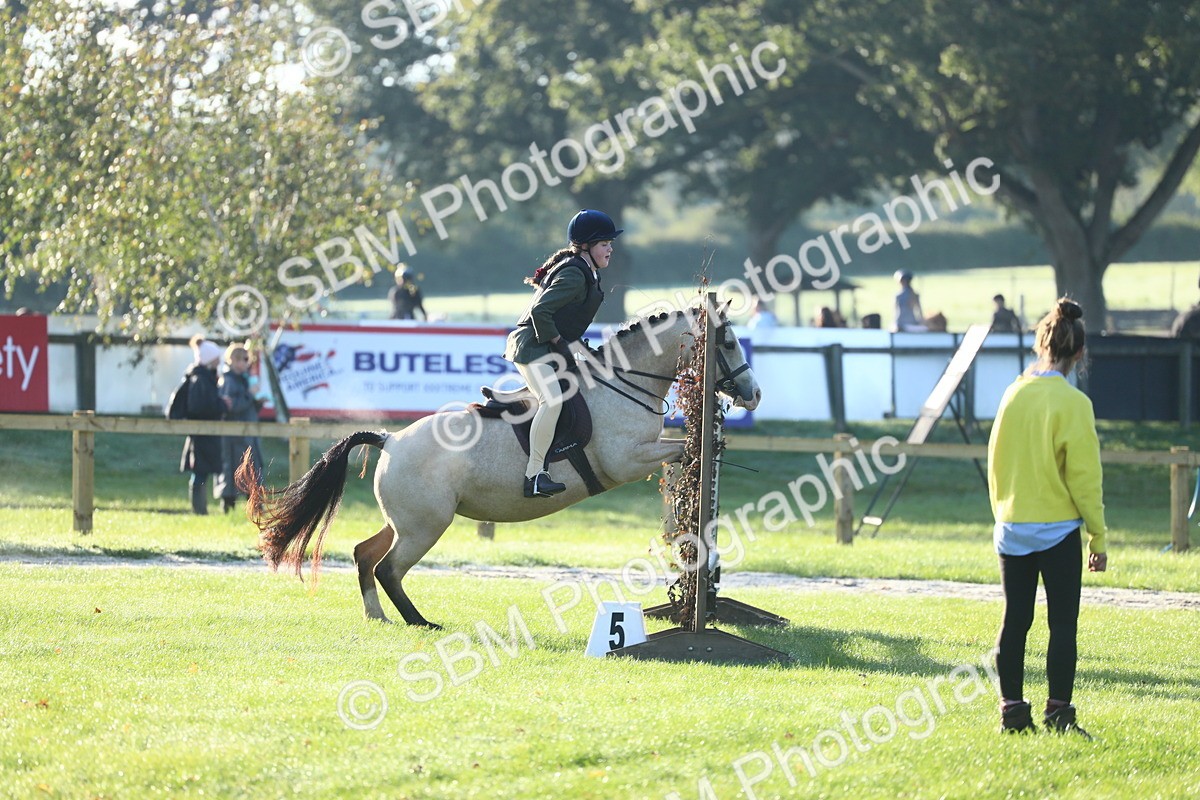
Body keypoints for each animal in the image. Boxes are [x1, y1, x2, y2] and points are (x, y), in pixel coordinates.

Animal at [239, 305, 761, 628]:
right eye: (728, 342)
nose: (754, 394)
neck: (623, 382)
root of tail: (391, 440)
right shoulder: (626, 460)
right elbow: (680, 454)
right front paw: (683, 514)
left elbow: (683, 455)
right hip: (426, 526)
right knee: (389, 568)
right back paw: (419, 621)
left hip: (407, 520)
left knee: (365, 555)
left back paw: (378, 617)